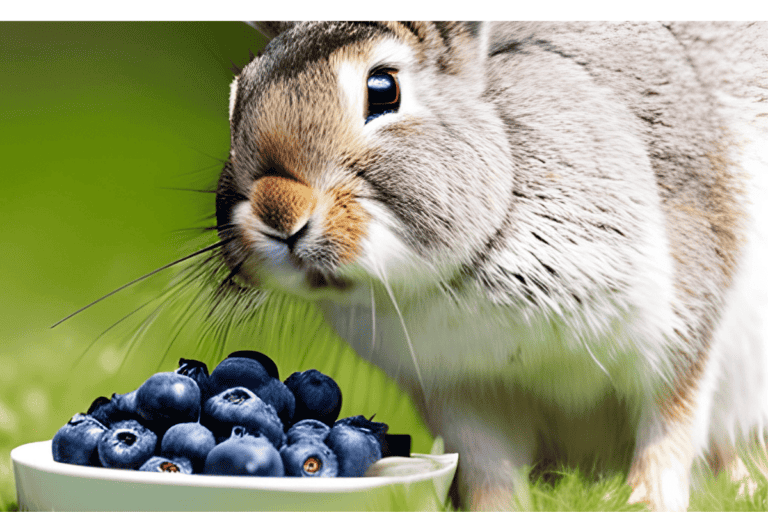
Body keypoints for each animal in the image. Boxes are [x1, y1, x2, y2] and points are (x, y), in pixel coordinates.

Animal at [213, 21, 768, 511]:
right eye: (238, 98)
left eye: (382, 88)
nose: (278, 213)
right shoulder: (461, 391)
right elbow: (489, 469)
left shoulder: (680, 328)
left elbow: (668, 433)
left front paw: (644, 502)